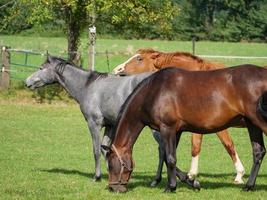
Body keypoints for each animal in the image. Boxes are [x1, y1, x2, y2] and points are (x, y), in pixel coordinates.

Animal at [26, 55, 200, 188]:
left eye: (41, 68)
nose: (27, 82)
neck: (88, 87)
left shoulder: (94, 124)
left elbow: (96, 150)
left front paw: (97, 176)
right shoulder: (110, 125)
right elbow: (105, 149)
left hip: (157, 128)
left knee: (163, 150)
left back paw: (169, 179)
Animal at [106, 65, 267, 193]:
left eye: (111, 165)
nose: (113, 188)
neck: (154, 91)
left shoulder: (167, 128)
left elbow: (170, 158)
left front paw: (171, 187)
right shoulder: (176, 131)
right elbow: (167, 158)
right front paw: (192, 182)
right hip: (252, 124)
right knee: (258, 152)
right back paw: (248, 186)